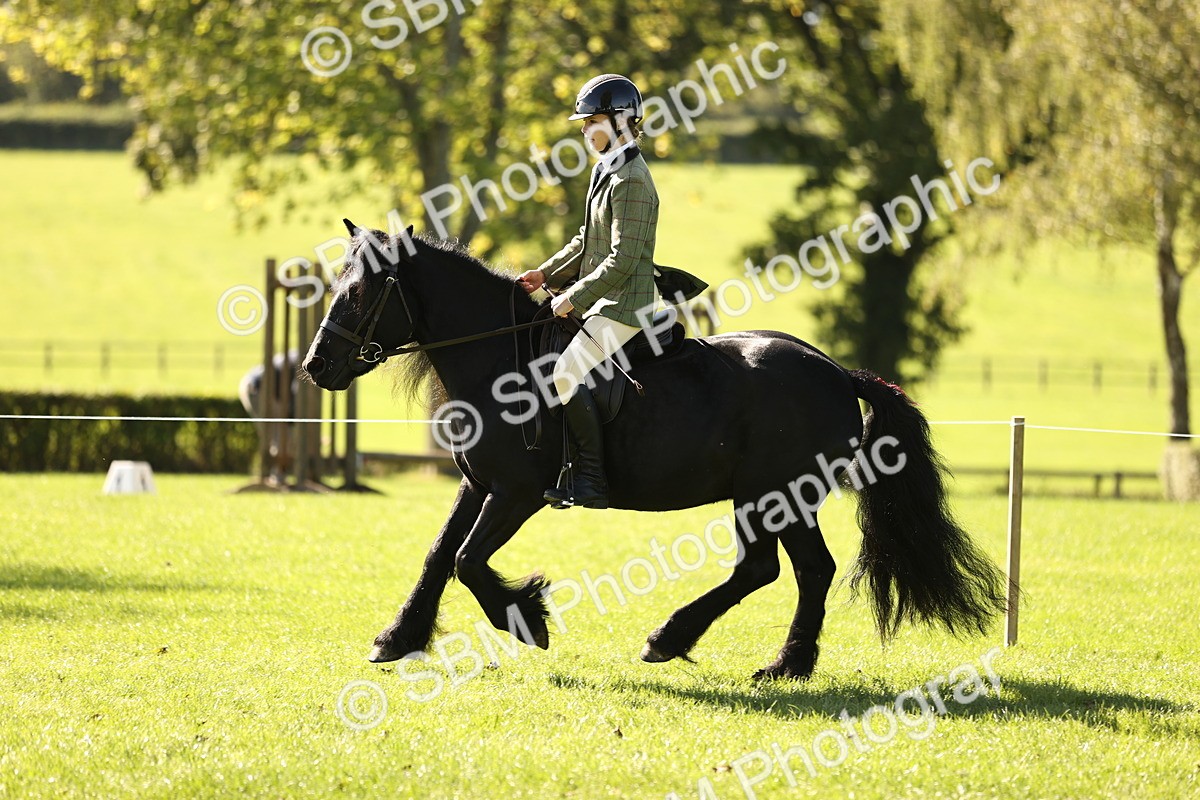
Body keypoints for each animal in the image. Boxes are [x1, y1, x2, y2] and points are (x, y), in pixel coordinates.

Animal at [301, 220, 1007, 680]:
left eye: (360, 292)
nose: (315, 366)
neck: (499, 358)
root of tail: (835, 371)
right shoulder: (479, 485)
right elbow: (438, 556)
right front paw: (396, 639)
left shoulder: (518, 494)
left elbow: (469, 561)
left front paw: (527, 618)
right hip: (766, 498)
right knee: (778, 570)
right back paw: (725, 650)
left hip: (774, 494)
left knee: (795, 570)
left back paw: (742, 655)